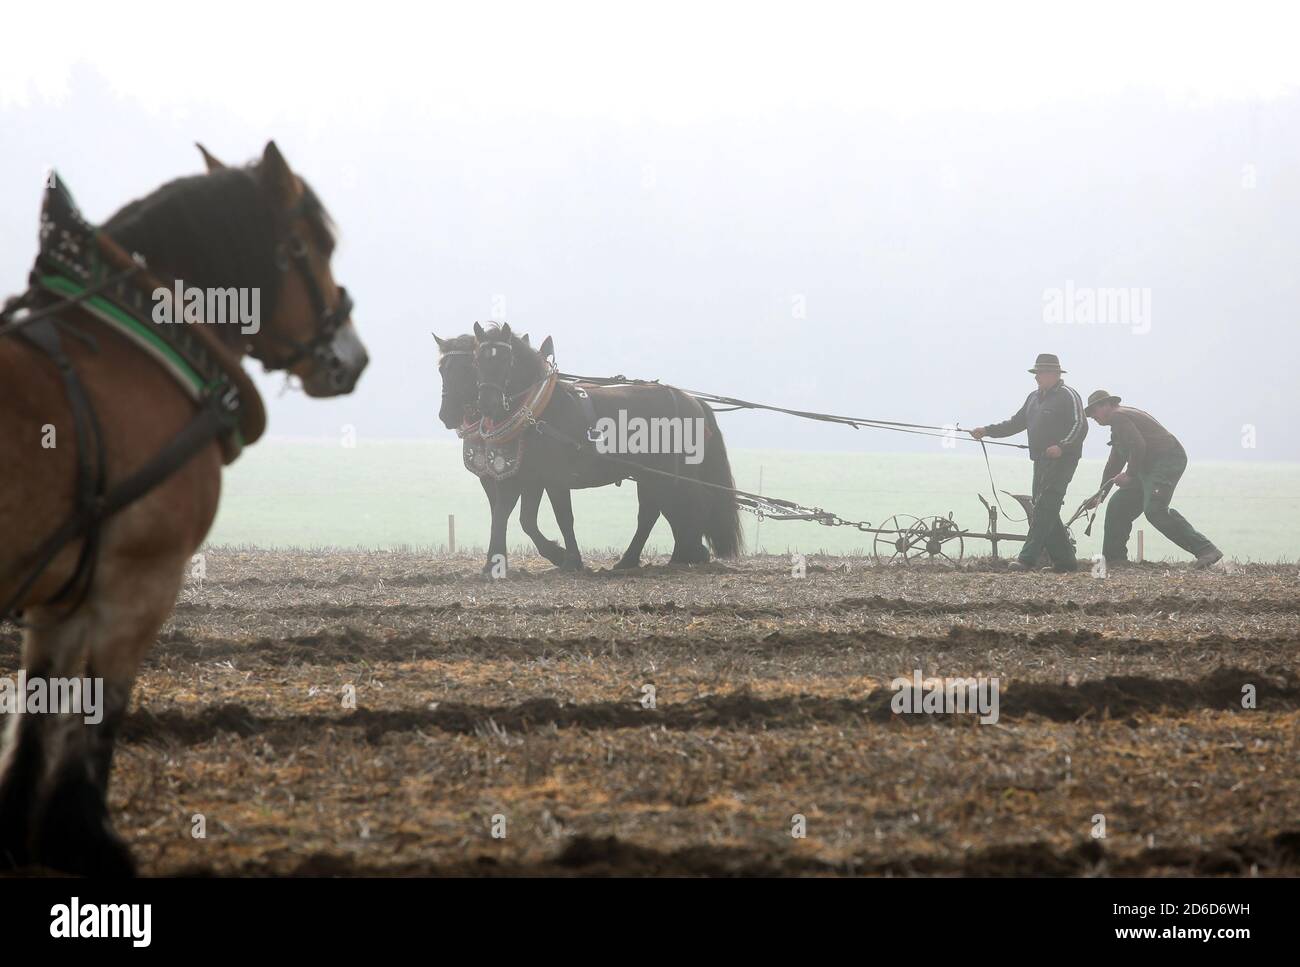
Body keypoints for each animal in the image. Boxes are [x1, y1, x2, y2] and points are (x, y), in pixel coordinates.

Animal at [0, 143, 366, 878]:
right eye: (312, 247)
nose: (354, 357)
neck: (133, 345)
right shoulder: (141, 582)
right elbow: (101, 707)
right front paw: (84, 836)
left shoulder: (60, 596)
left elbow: (37, 709)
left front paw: (21, 834)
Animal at [467, 321, 743, 574]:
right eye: (478, 361)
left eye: (507, 360)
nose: (487, 404)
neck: (539, 411)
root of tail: (693, 401)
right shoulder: (524, 477)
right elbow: (506, 515)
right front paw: (493, 564)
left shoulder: (555, 478)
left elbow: (563, 517)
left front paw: (570, 560)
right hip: (652, 475)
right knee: (656, 511)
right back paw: (638, 559)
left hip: (674, 472)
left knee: (693, 502)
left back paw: (687, 553)